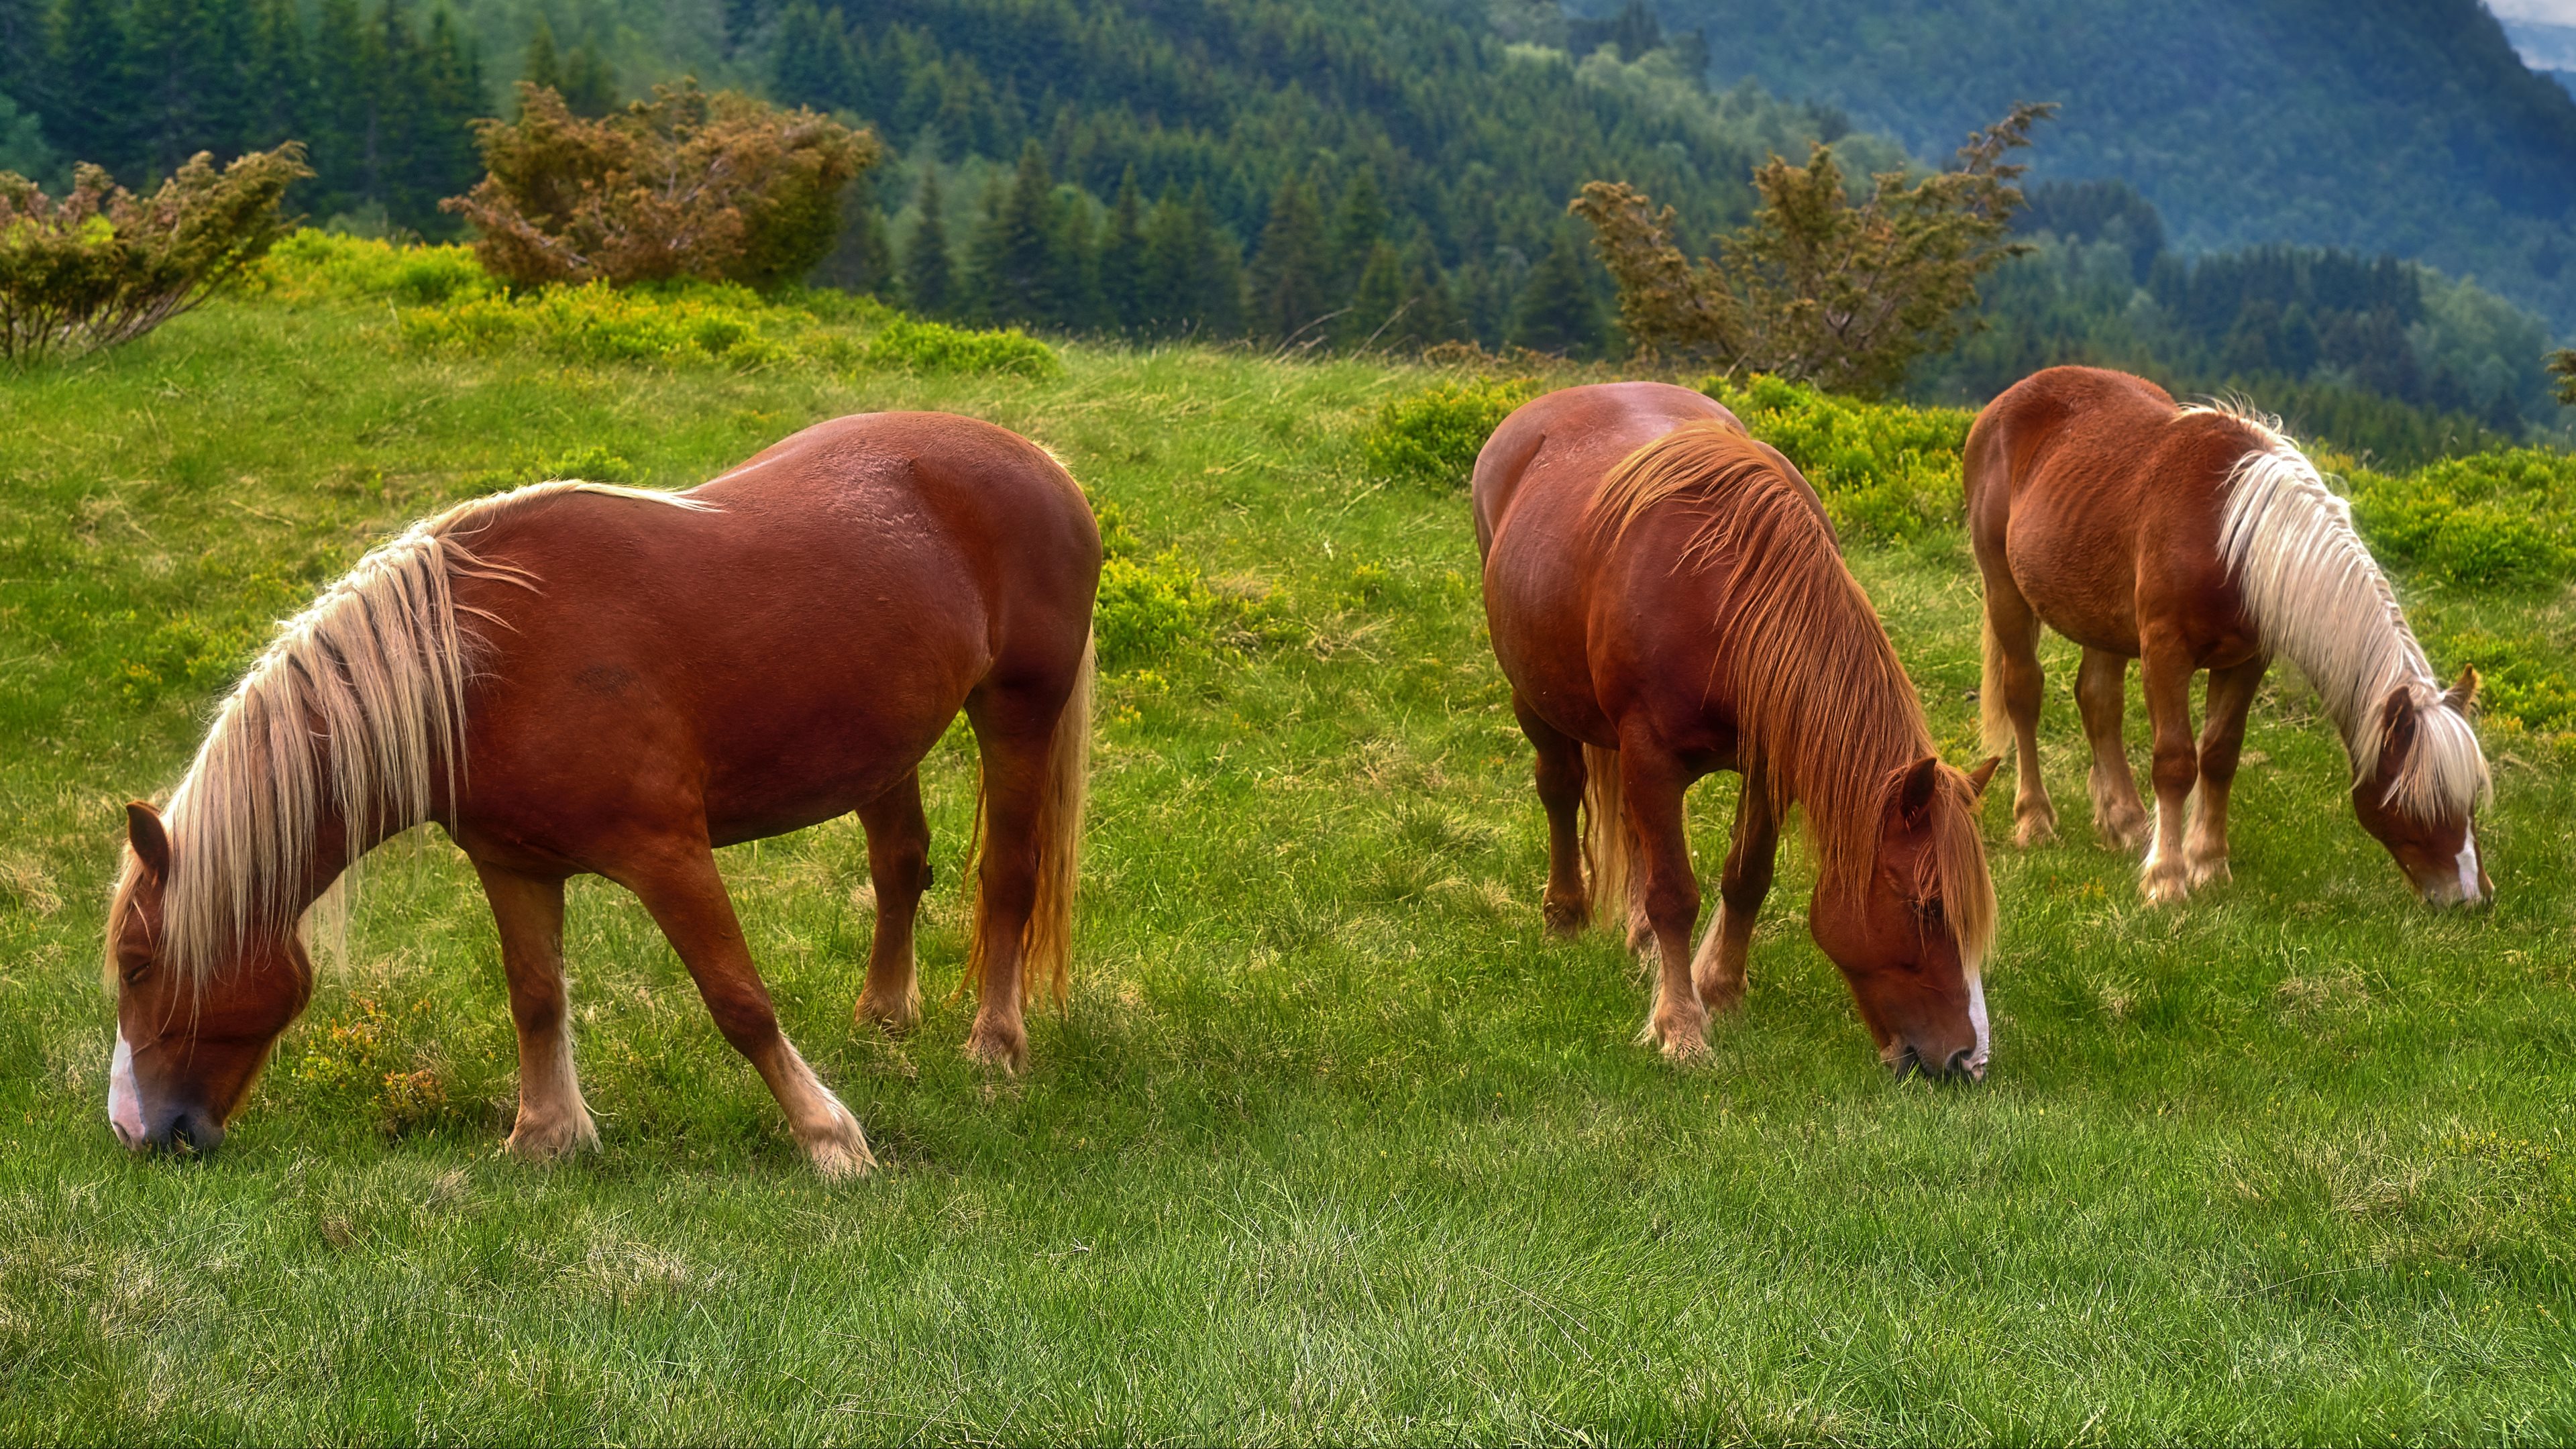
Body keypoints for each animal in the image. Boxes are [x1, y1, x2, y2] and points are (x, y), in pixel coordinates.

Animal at [103, 410, 1097, 1175]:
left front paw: (830, 1140)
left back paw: (995, 1049)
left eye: (140, 965)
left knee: (1009, 877)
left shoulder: (669, 855)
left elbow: (739, 999)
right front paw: (544, 1139)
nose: (136, 1133)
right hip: (882, 747)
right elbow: (537, 996)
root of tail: (1038, 459)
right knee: (899, 867)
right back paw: (883, 1022)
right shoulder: (514, 866)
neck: (480, 668)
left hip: (1018, 711)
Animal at [1483, 378, 1998, 1077]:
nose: (1969, 1060)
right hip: (1535, 701)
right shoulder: (1651, 756)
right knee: (1560, 791)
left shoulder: (1768, 762)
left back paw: (1641, 946)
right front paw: (1680, 1029)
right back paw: (1564, 918)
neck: (1724, 599)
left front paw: (1721, 990)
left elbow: (1746, 876)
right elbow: (1674, 894)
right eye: (1928, 906)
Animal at [1957, 361, 2483, 902]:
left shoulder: (2246, 661)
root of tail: (2009, 399)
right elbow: (2174, 762)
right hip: (2005, 590)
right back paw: (2035, 821)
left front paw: (2208, 863)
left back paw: (2126, 824)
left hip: (2100, 619)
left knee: (2099, 701)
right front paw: (2167, 880)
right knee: (2024, 693)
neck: (2234, 539)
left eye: (2472, 799)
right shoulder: (2165, 652)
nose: (2471, 897)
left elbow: (2219, 756)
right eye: (2424, 797)